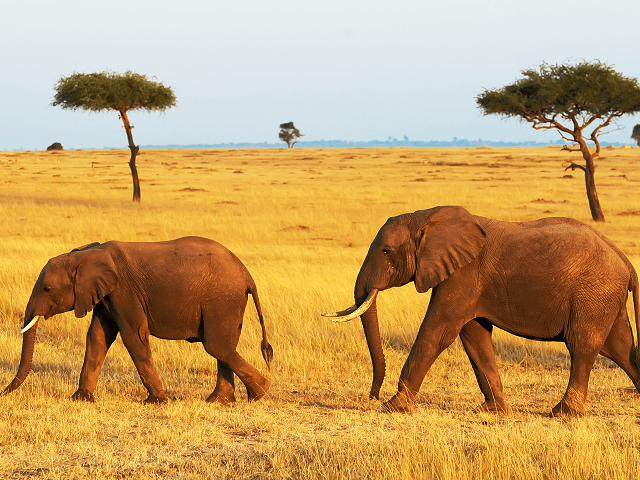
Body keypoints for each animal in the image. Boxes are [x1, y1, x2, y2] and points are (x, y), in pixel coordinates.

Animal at [1, 237, 272, 404]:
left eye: (47, 289)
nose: (3, 393)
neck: (87, 254)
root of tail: (247, 275)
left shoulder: (124, 290)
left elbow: (134, 336)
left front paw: (158, 401)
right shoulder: (106, 295)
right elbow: (97, 338)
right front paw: (80, 399)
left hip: (222, 299)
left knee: (217, 346)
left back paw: (260, 392)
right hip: (226, 301)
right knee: (223, 346)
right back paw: (220, 401)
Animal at [324, 206, 640, 416]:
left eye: (386, 251)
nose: (372, 397)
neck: (426, 217)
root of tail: (626, 262)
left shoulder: (464, 274)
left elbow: (437, 332)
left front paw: (394, 407)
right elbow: (474, 336)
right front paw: (493, 411)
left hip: (593, 294)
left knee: (582, 346)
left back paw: (562, 413)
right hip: (604, 299)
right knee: (622, 349)